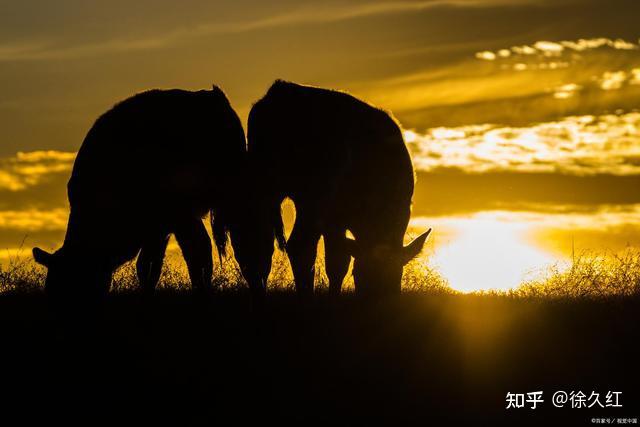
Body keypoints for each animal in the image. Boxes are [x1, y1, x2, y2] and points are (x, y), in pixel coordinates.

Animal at [245, 80, 430, 298]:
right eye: (363, 274)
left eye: (396, 275)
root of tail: (279, 91)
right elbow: (338, 261)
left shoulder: (335, 219)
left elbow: (338, 261)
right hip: (313, 196)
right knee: (299, 245)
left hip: (265, 186)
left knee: (260, 243)